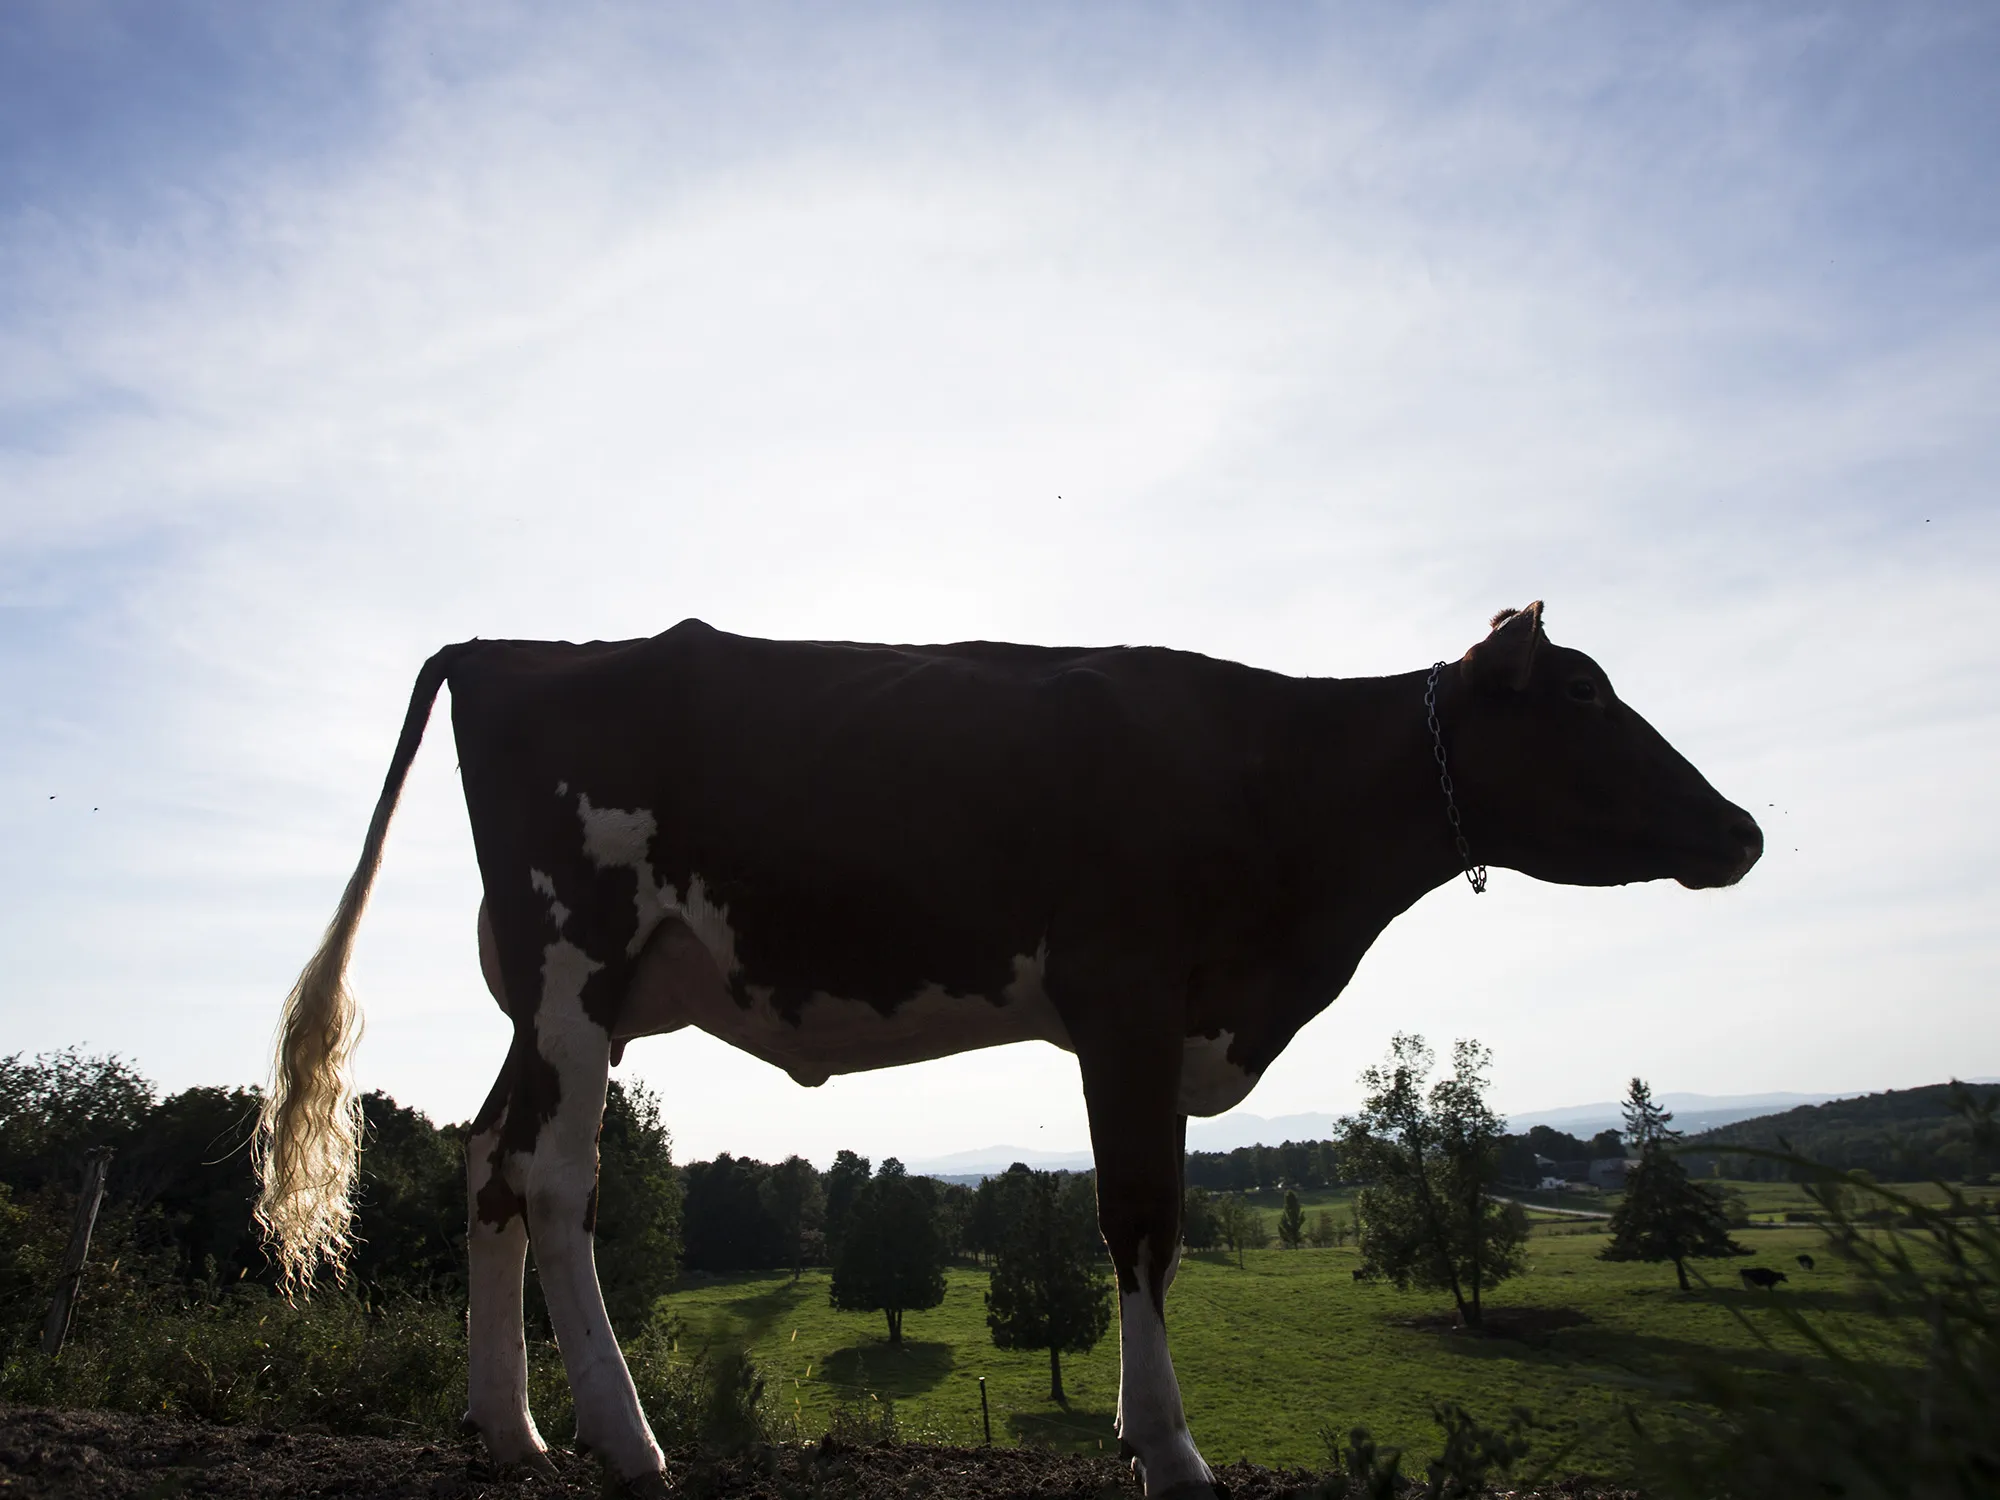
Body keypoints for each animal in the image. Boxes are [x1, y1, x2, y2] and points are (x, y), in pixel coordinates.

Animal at [255, 603, 1760, 1499]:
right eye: (1584, 701)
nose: (1741, 827)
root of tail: (512, 647)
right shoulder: (1126, 998)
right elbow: (1142, 1222)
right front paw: (1169, 1449)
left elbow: (1163, 1225)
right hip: (577, 960)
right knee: (559, 1180)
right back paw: (627, 1441)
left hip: (564, 1001)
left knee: (487, 1161)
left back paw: (504, 1426)